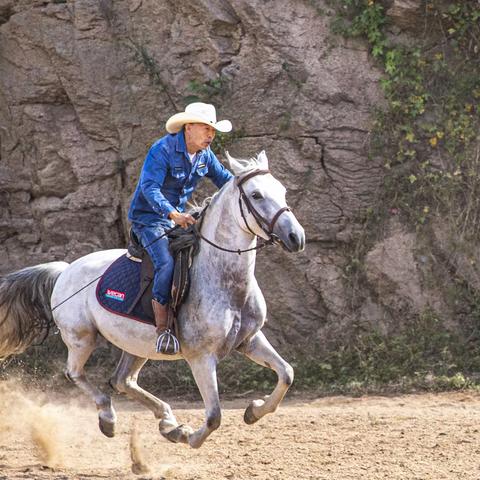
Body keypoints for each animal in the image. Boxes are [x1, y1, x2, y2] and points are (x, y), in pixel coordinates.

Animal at [0, 152, 306, 448]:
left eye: (282, 190)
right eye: (256, 195)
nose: (296, 237)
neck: (226, 282)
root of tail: (64, 271)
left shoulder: (249, 340)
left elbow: (287, 373)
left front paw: (253, 410)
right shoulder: (201, 357)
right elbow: (214, 415)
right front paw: (189, 437)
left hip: (135, 344)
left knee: (122, 380)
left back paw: (167, 421)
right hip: (81, 338)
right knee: (75, 374)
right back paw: (110, 417)